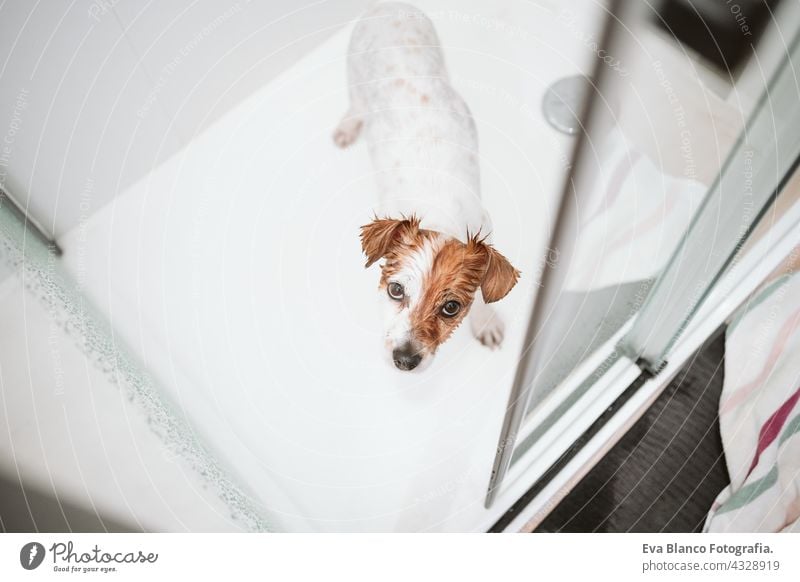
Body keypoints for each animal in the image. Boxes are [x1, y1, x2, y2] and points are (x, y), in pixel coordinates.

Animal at [332, 2, 516, 372]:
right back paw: (349, 124)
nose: (404, 360)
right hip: (355, 71)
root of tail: (388, 7)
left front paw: (485, 321)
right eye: (395, 290)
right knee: (356, 103)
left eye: (451, 307)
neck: (436, 212)